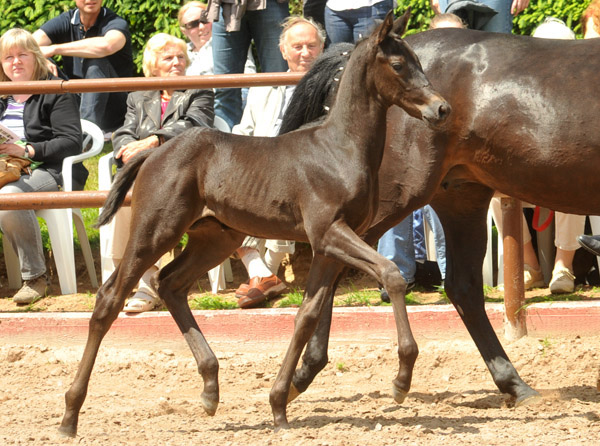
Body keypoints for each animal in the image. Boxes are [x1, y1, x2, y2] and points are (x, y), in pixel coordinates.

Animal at [58, 11, 450, 436]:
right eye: (397, 65)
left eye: (419, 61)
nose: (442, 109)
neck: (340, 150)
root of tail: (153, 150)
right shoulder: (330, 233)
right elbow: (391, 275)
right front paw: (401, 379)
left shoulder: (331, 244)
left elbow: (307, 314)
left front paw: (279, 405)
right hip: (155, 231)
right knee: (110, 298)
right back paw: (70, 414)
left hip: (214, 239)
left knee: (170, 284)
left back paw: (210, 388)